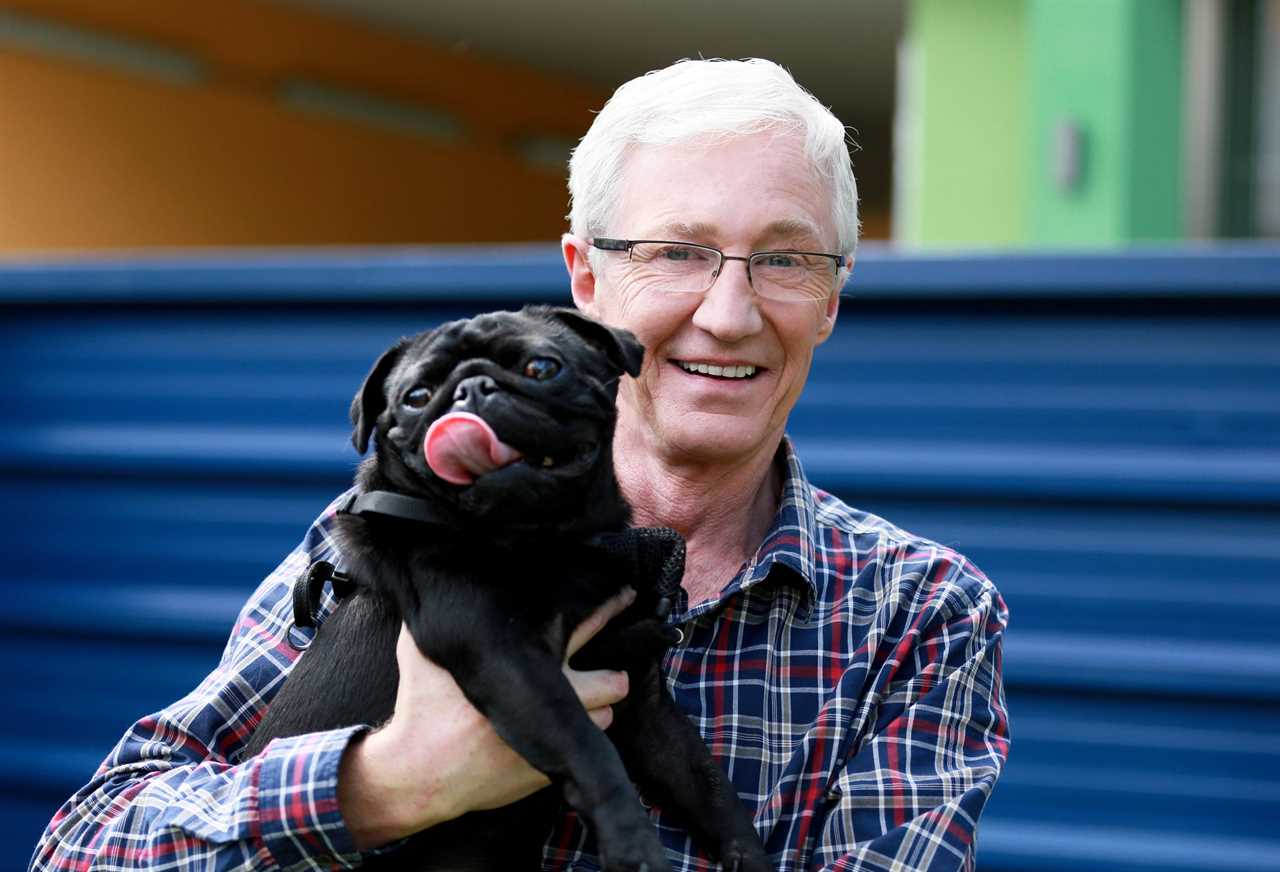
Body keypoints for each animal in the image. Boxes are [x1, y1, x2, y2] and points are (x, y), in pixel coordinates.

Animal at [247, 307, 768, 870]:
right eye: (415, 396)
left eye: (543, 367)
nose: (472, 388)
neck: (544, 539)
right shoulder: (508, 661)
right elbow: (589, 748)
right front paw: (633, 844)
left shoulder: (644, 701)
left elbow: (707, 784)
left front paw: (750, 856)